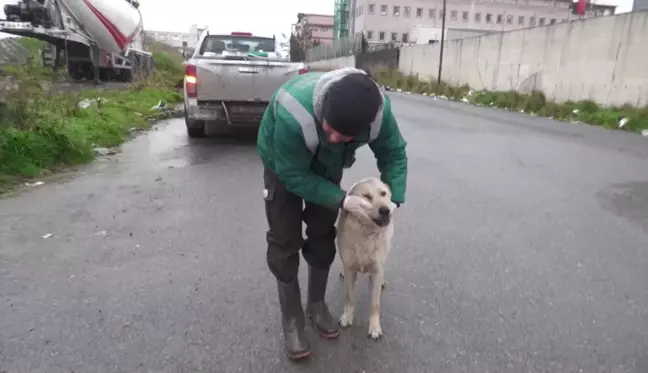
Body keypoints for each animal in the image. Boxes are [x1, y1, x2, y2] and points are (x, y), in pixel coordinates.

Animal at [336, 176, 398, 338]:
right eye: (367, 197)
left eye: (383, 193)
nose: (386, 210)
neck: (366, 234)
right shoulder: (351, 269)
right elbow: (349, 297)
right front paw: (348, 316)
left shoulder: (376, 269)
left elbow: (375, 304)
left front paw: (374, 326)